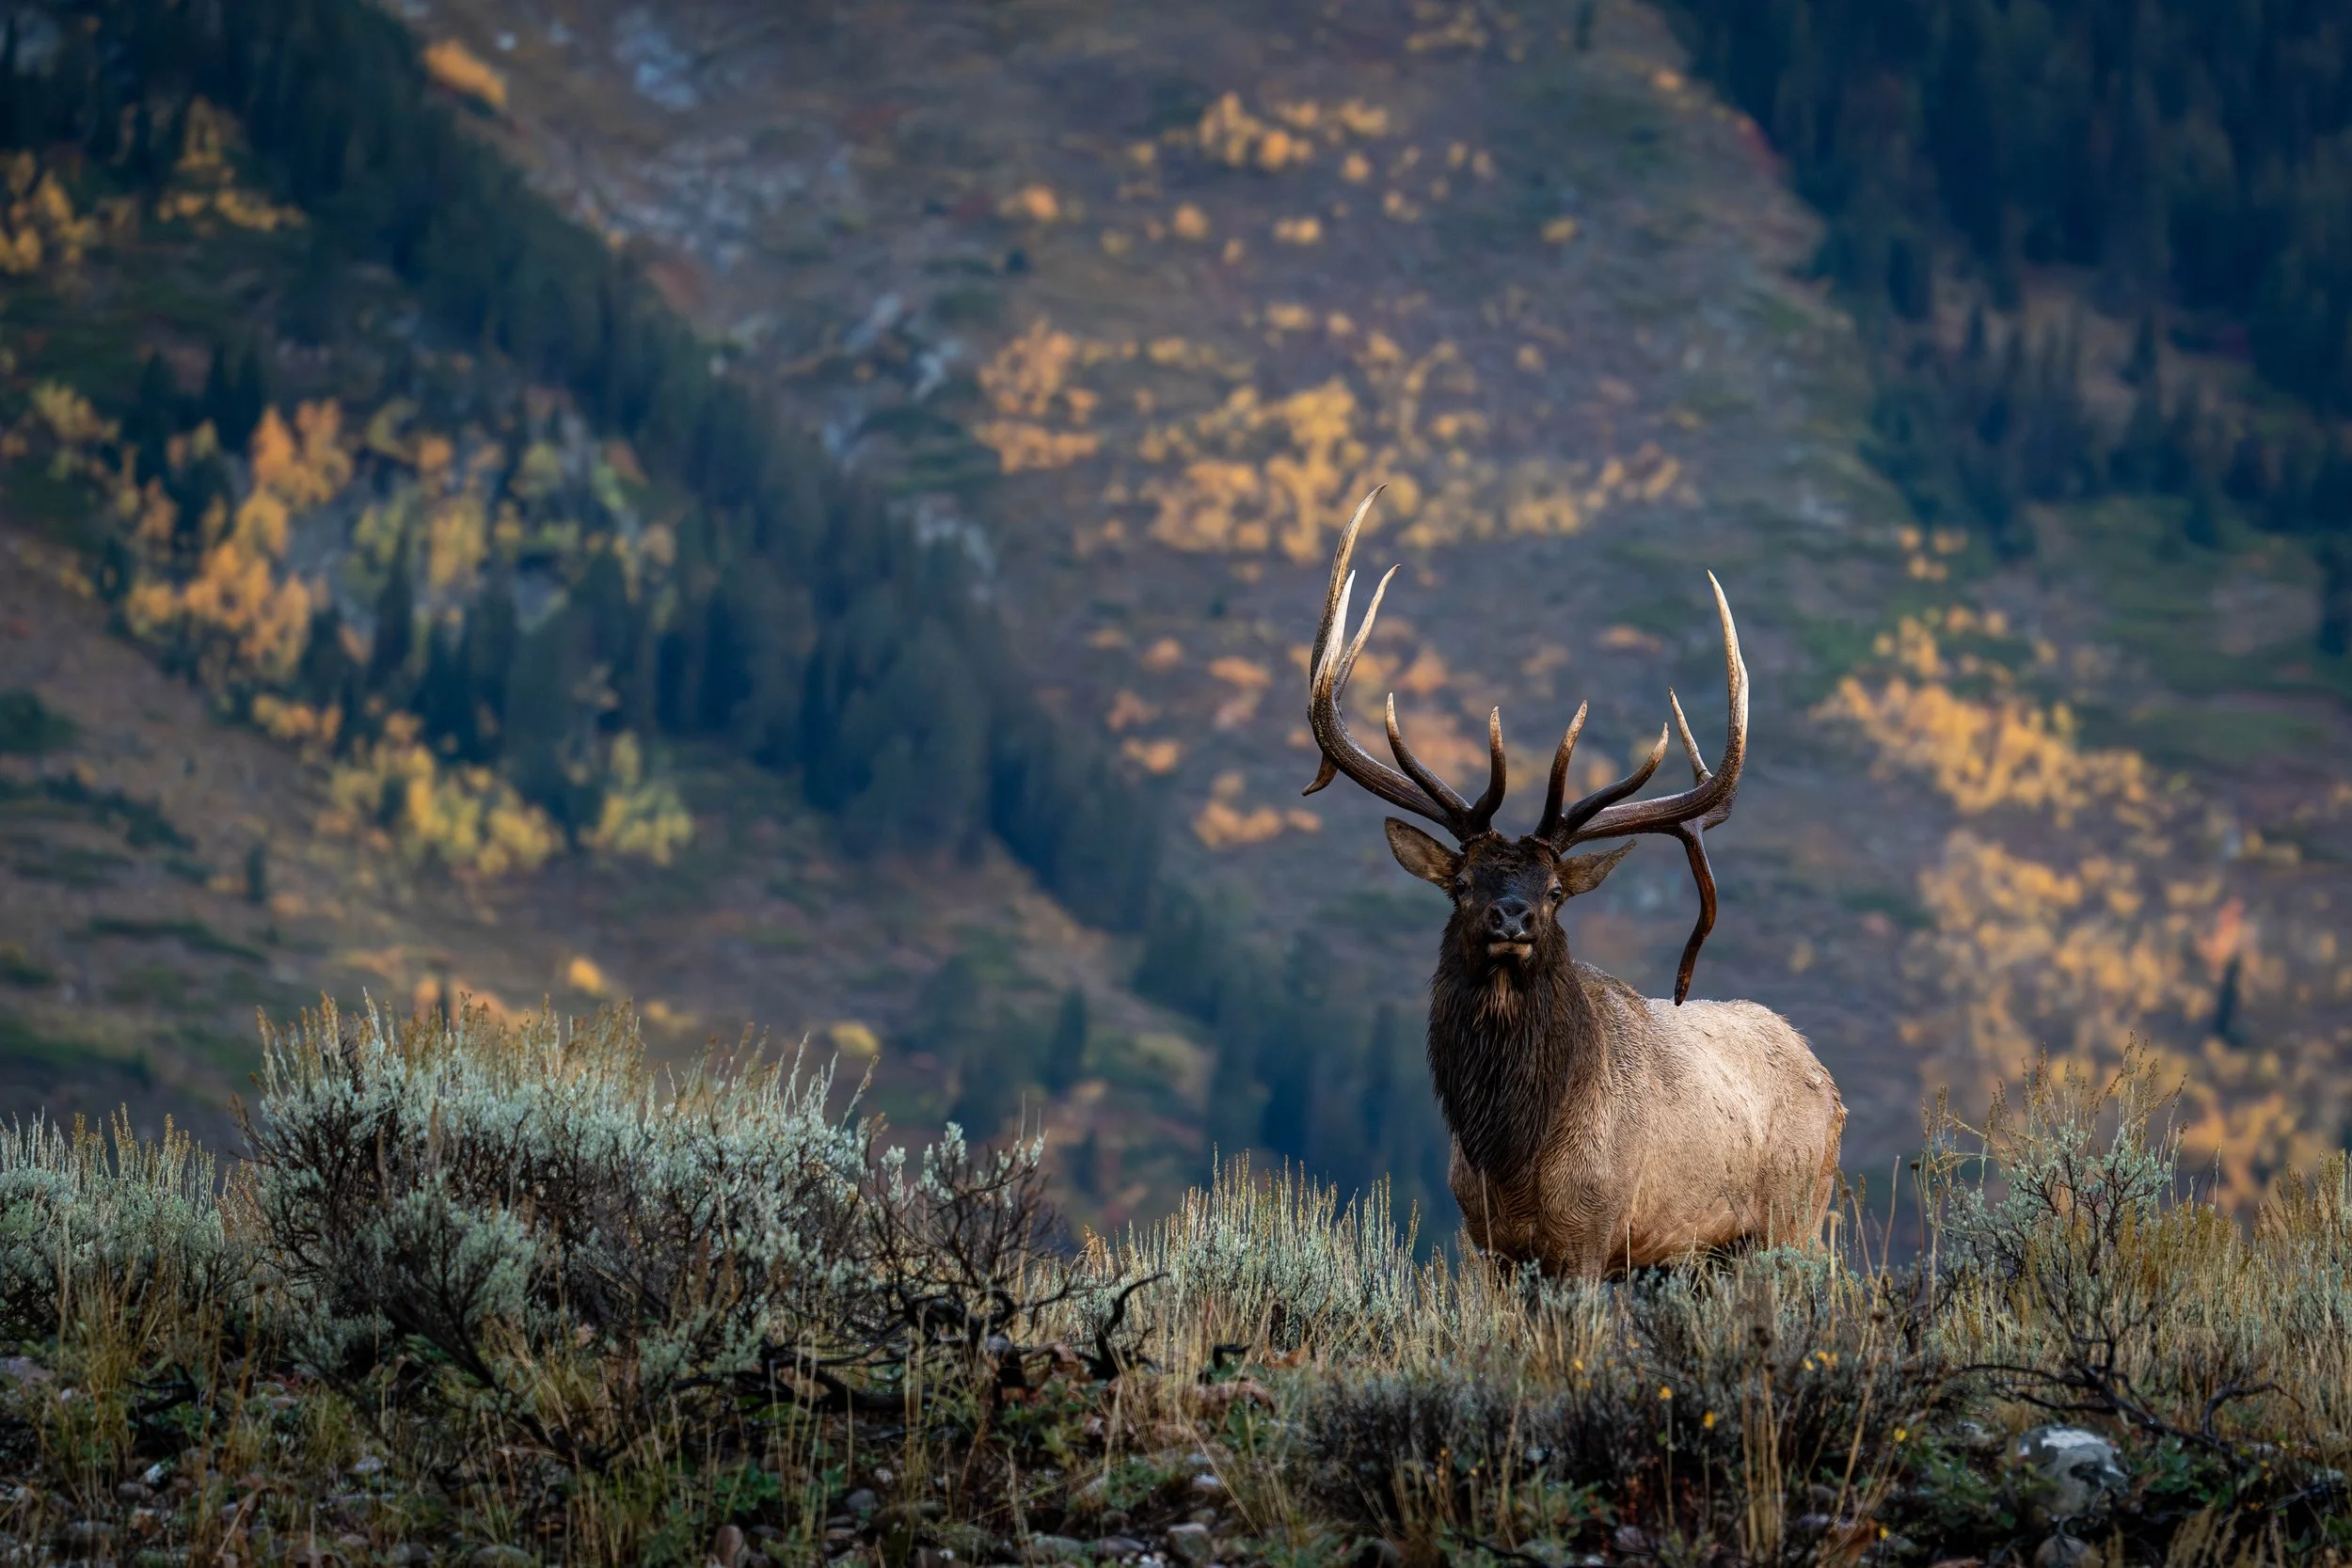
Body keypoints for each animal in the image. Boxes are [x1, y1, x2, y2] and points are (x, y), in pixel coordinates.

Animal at [1303, 489, 1844, 1279]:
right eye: (1461, 883)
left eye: (1555, 891)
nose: (1512, 919)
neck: (1513, 1157)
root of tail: (1829, 1082)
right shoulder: (1487, 1242)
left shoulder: (1594, 1232)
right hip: (1704, 1257)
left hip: (1793, 1222)